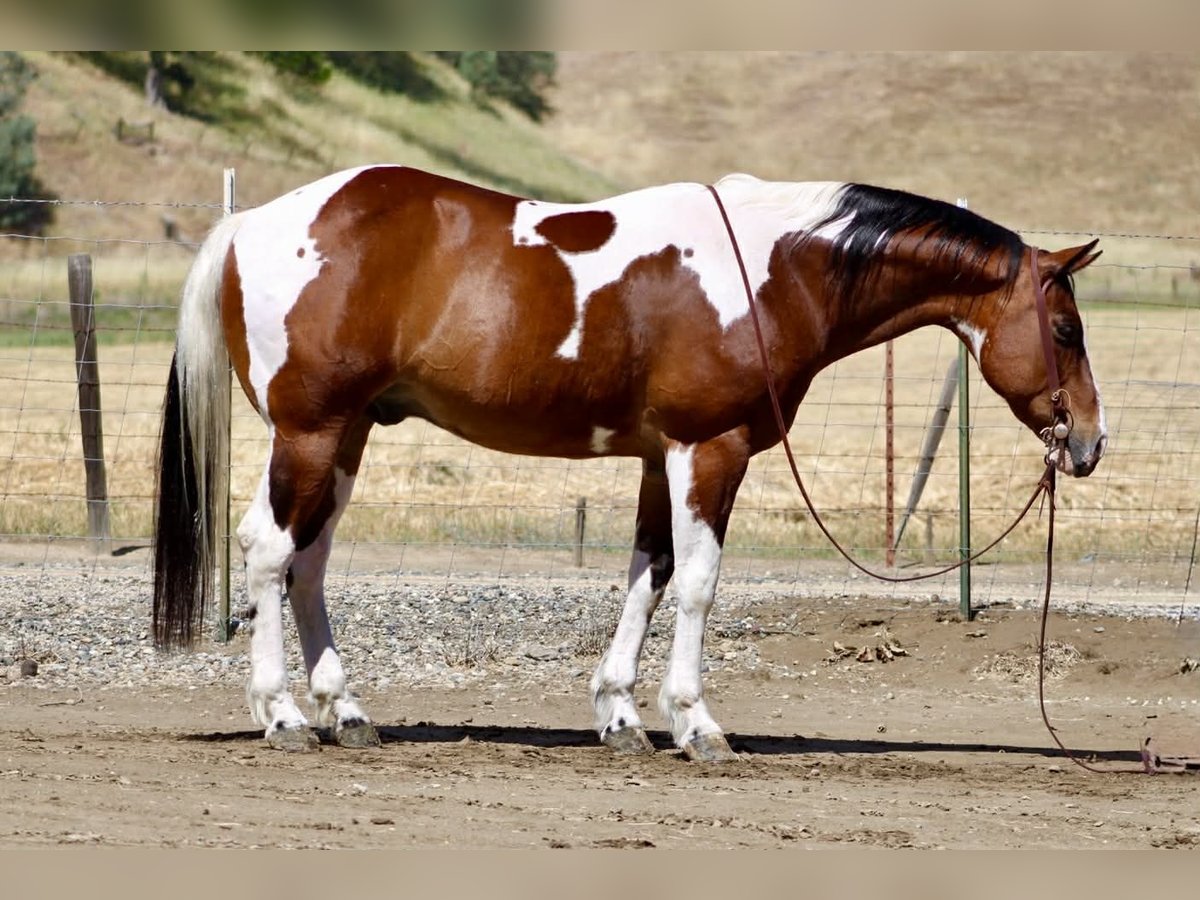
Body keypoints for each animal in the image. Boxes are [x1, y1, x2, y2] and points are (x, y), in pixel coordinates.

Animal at [152, 165, 1106, 759]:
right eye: (1065, 329)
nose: (1091, 441)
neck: (776, 269)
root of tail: (252, 222)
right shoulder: (709, 450)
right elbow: (698, 586)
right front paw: (696, 724)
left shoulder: (660, 459)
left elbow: (647, 578)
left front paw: (619, 715)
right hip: (310, 432)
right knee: (269, 552)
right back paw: (281, 714)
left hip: (346, 438)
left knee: (309, 564)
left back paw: (346, 712)